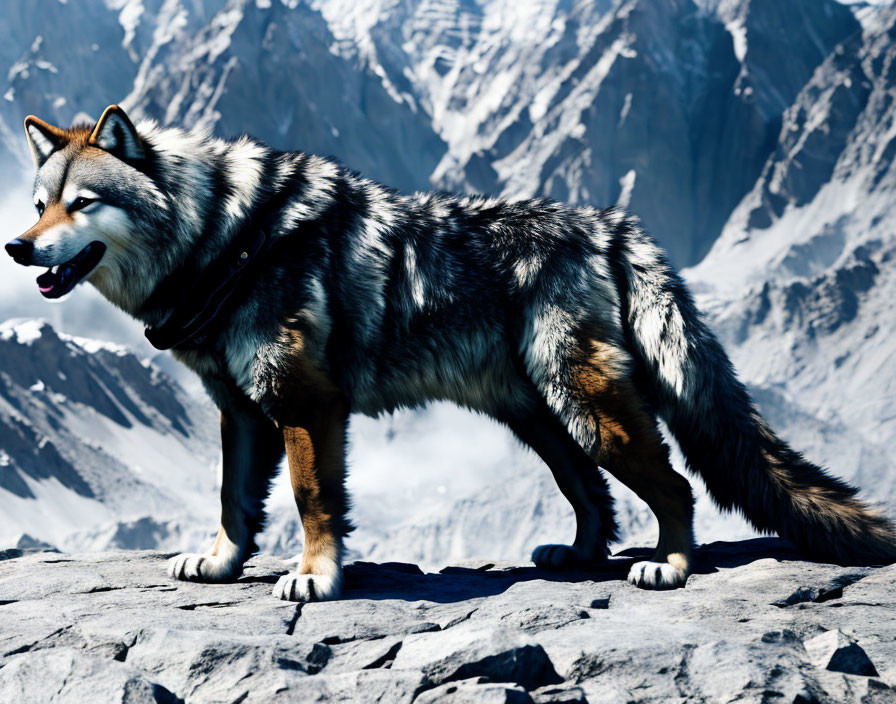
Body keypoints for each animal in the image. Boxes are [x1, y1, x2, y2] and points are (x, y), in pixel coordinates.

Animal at [7, 104, 896, 600]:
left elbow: (311, 500)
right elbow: (235, 503)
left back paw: (670, 567)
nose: (17, 247)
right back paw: (578, 558)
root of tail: (613, 226)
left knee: (672, 486)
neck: (228, 234)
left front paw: (317, 578)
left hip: (586, 411)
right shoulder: (243, 413)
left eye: (81, 204)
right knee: (594, 500)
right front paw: (223, 566)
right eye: (38, 202)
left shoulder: (305, 406)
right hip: (543, 422)